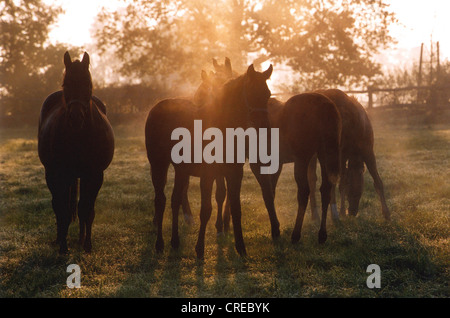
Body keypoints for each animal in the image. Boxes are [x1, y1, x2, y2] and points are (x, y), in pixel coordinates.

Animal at [38, 52, 114, 256]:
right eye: (66, 84)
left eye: (88, 84)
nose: (76, 117)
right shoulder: (59, 174)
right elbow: (63, 210)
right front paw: (63, 247)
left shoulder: (94, 174)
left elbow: (86, 209)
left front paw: (87, 245)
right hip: (54, 175)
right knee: (58, 205)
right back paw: (59, 238)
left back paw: (80, 239)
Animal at [146, 62, 276, 258]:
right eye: (252, 92)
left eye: (267, 94)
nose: (264, 127)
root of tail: (158, 106)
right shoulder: (208, 174)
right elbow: (206, 209)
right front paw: (200, 249)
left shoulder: (234, 172)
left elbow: (235, 208)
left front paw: (241, 247)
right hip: (158, 163)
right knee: (160, 200)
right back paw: (159, 244)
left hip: (181, 169)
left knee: (175, 199)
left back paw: (175, 242)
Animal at [308, 88, 392, 220]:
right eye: (352, 191)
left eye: (360, 191)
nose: (352, 211)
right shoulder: (351, 153)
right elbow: (343, 182)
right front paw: (341, 212)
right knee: (318, 179)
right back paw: (324, 214)